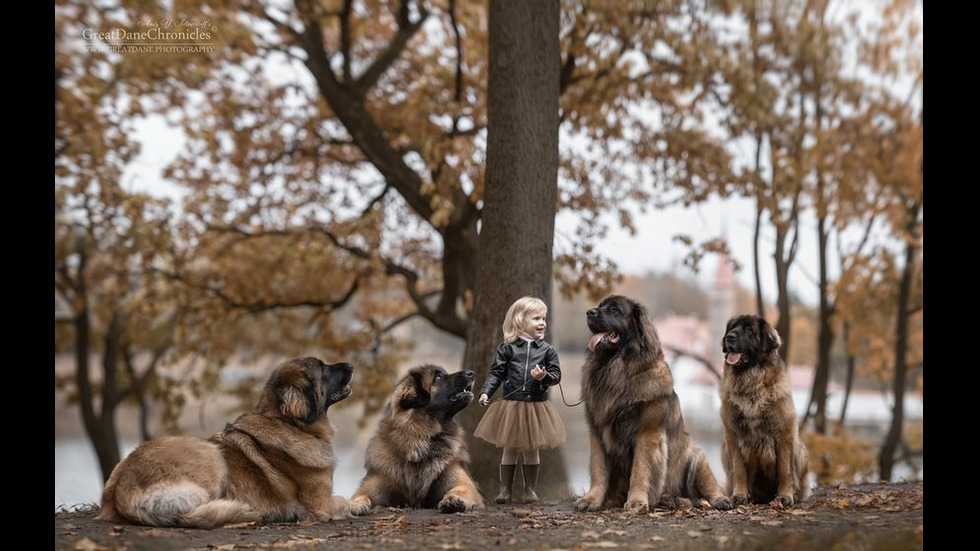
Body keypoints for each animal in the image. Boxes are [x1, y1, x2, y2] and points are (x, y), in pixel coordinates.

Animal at [95, 358, 354, 532]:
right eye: (323, 368)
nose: (351, 365)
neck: (288, 422)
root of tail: (119, 493)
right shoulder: (321, 504)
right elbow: (344, 501)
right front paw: (357, 505)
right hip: (211, 454)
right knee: (191, 515)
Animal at [350, 364, 484, 516]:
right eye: (438, 377)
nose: (471, 373)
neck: (421, 439)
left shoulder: (460, 480)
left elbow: (460, 489)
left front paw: (454, 500)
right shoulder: (376, 483)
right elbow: (361, 496)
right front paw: (355, 505)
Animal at [576, 298, 728, 512]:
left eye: (615, 310)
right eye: (600, 306)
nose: (590, 312)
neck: (616, 370)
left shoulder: (647, 433)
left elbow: (640, 470)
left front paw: (636, 501)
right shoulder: (598, 432)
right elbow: (599, 471)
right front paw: (592, 499)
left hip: (696, 458)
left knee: (709, 488)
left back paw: (719, 499)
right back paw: (668, 500)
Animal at [720, 312, 812, 506]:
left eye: (749, 329)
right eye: (732, 327)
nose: (729, 337)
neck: (751, 384)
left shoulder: (784, 433)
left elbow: (785, 470)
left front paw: (785, 496)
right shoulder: (733, 434)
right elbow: (739, 469)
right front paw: (740, 495)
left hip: (800, 449)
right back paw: (754, 495)